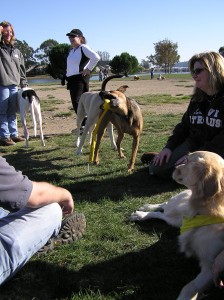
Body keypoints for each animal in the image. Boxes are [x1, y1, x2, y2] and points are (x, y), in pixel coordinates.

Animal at [131, 152, 224, 300]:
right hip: (176, 210)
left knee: (163, 214)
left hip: (177, 220)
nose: (174, 166)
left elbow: (189, 287)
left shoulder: (212, 268)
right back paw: (144, 210)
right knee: (164, 206)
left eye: (188, 161)